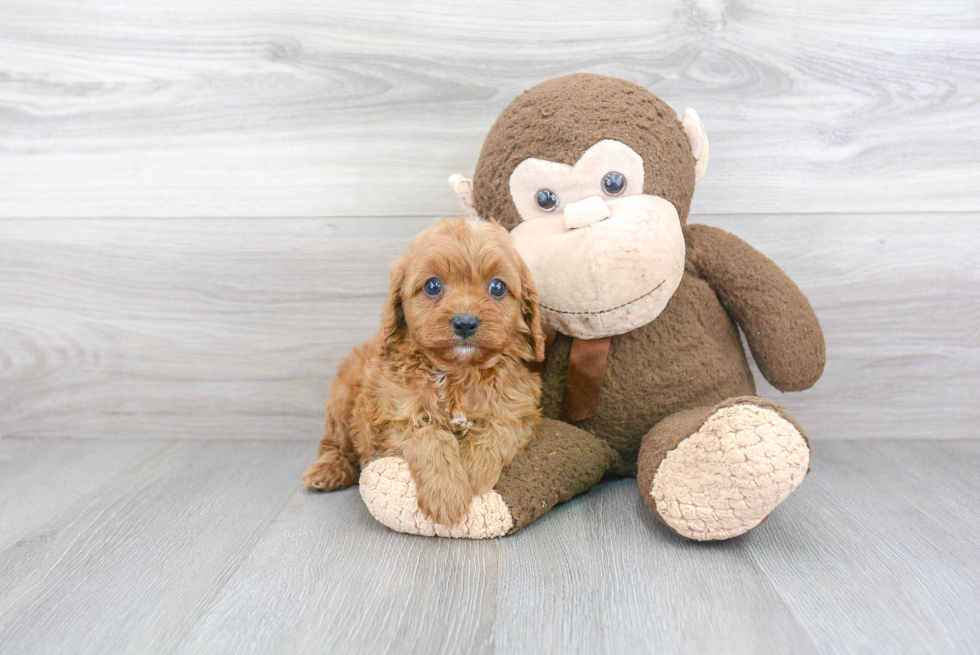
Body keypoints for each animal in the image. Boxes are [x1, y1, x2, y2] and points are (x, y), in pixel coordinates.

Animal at [302, 218, 548, 524]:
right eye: (432, 286)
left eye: (498, 288)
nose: (465, 322)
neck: (458, 373)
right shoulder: (393, 415)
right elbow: (431, 437)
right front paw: (448, 494)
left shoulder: (520, 407)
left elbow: (501, 427)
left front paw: (475, 471)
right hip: (342, 398)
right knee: (334, 444)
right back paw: (327, 470)